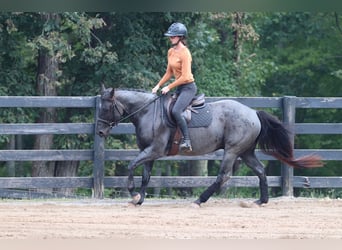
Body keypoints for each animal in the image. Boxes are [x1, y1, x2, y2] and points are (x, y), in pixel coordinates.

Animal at [97, 86, 324, 207]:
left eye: (106, 108)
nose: (100, 132)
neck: (148, 112)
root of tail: (253, 112)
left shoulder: (154, 150)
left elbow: (131, 165)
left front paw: (133, 194)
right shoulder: (149, 152)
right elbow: (145, 176)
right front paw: (139, 199)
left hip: (232, 150)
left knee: (223, 176)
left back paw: (200, 200)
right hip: (246, 151)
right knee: (260, 171)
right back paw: (261, 201)